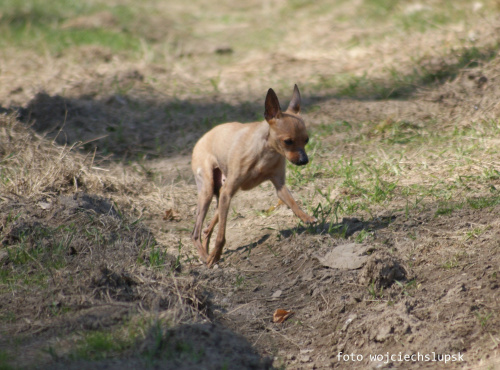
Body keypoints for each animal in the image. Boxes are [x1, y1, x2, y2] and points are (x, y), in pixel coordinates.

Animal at [189, 84, 314, 266]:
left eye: (306, 140)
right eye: (288, 141)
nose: (304, 160)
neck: (266, 152)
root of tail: (201, 138)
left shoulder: (280, 187)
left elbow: (292, 202)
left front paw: (306, 217)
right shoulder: (227, 191)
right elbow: (221, 236)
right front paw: (215, 256)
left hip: (221, 195)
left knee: (206, 229)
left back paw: (206, 251)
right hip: (208, 191)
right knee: (195, 233)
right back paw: (206, 257)